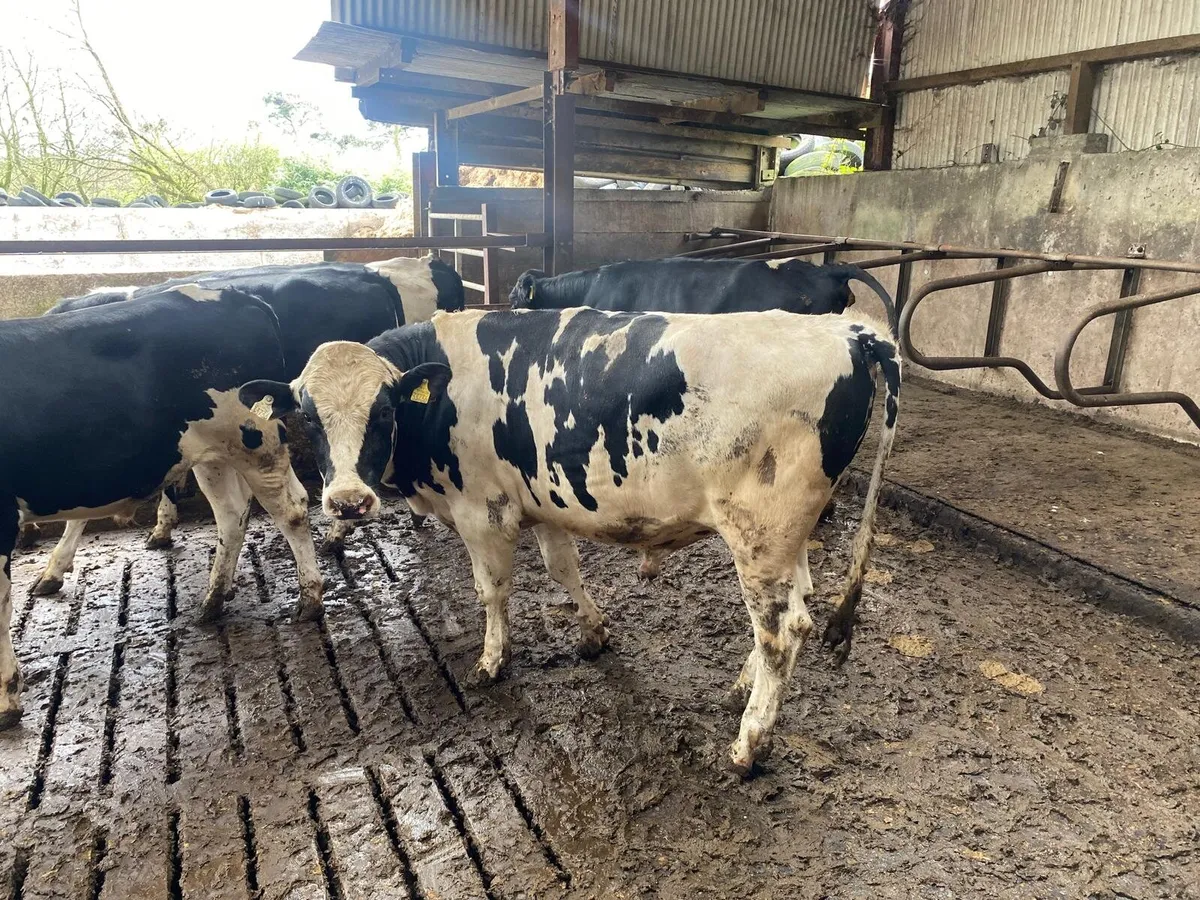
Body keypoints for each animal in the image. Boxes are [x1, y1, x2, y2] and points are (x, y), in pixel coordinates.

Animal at [0, 285, 325, 728]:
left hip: (256, 444)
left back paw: (309, 600)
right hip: (210, 455)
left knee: (290, 508)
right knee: (232, 515)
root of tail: (237, 295)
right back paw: (213, 600)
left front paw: (6, 698)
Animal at [238, 306, 900, 776]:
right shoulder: (546, 501)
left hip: (758, 532)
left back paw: (749, 744)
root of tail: (848, 330)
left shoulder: (484, 511)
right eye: (307, 417)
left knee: (780, 632)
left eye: (382, 413)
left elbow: (492, 590)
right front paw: (593, 634)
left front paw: (491, 660)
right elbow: (564, 571)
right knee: (800, 609)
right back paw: (741, 689)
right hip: (790, 536)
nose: (348, 501)